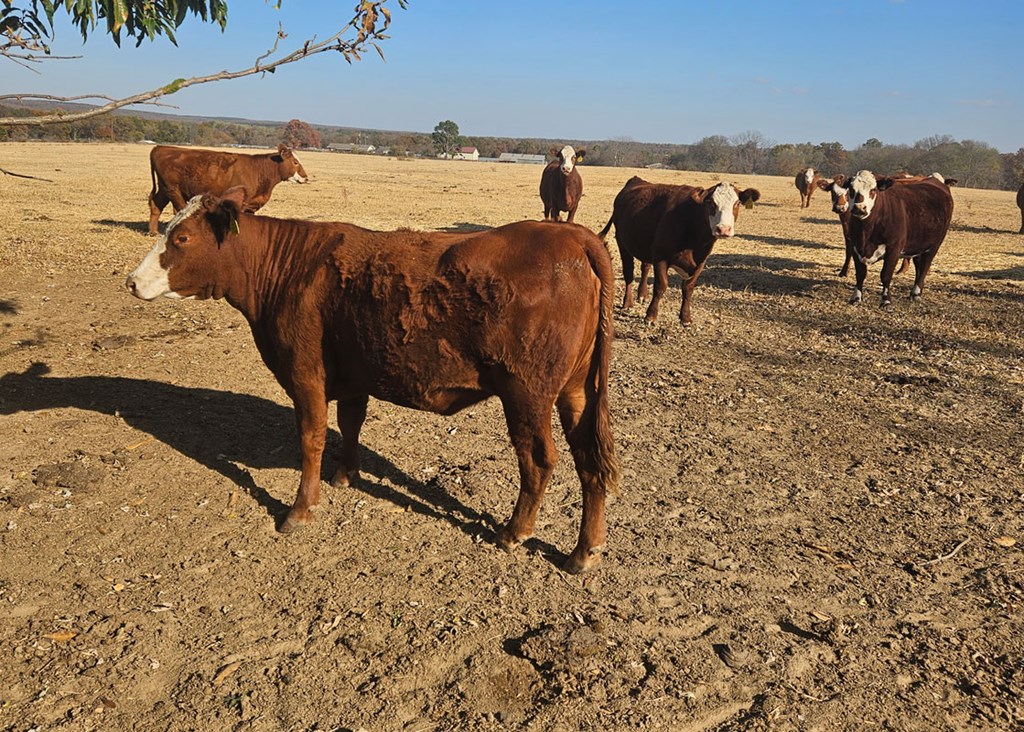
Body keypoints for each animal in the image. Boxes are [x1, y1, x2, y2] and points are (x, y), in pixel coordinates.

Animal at [119, 191, 614, 577]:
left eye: (182, 238)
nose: (132, 281)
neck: (290, 269)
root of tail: (575, 236)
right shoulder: (353, 373)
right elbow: (350, 423)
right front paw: (344, 475)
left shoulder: (304, 373)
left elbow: (312, 437)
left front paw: (300, 509)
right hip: (576, 393)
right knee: (589, 461)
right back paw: (583, 552)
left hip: (527, 394)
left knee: (539, 460)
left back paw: (514, 532)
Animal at [147, 143, 307, 234]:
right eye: (295, 162)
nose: (305, 177)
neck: (259, 170)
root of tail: (160, 148)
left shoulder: (251, 206)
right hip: (172, 189)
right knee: (179, 209)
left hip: (164, 189)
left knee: (156, 205)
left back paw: (153, 232)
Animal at [593, 176, 761, 325]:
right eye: (711, 203)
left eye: (737, 203)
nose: (723, 229)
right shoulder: (661, 257)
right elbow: (661, 286)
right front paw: (650, 316)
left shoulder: (700, 262)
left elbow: (688, 288)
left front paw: (685, 318)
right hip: (622, 242)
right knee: (628, 272)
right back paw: (628, 302)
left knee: (645, 267)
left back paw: (642, 295)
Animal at [835, 170, 954, 307]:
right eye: (851, 189)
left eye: (873, 189)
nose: (860, 208)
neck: (866, 230)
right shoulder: (856, 247)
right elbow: (860, 274)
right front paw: (856, 297)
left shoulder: (893, 249)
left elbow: (886, 275)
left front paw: (886, 300)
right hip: (918, 244)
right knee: (918, 265)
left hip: (934, 245)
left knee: (925, 265)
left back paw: (916, 293)